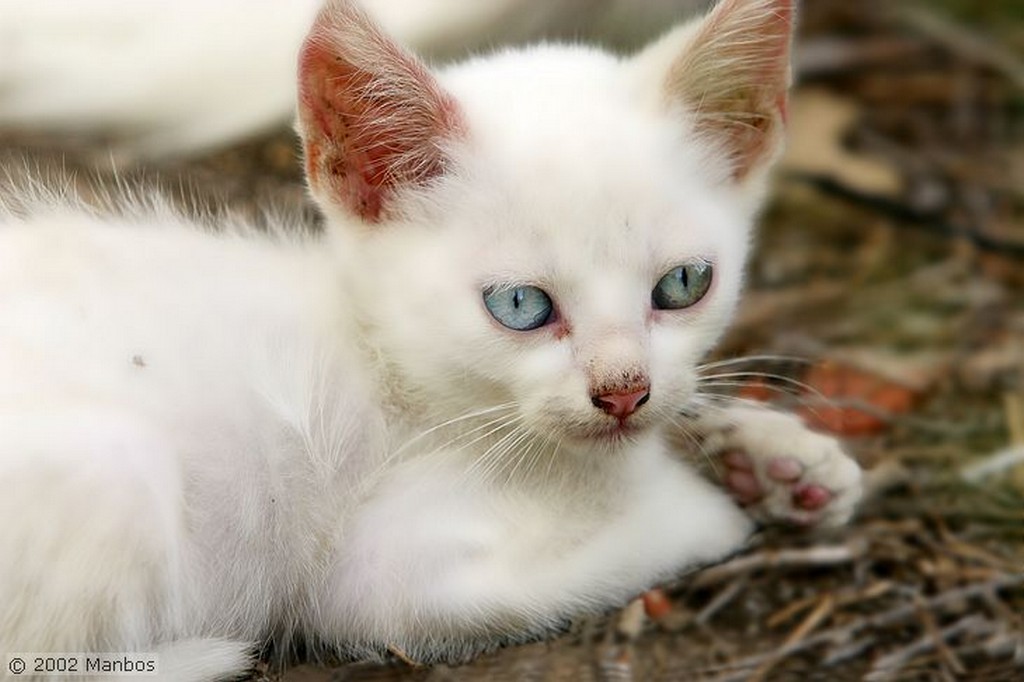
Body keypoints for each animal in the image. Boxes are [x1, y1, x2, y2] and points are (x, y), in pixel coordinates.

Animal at [2, 1, 864, 679]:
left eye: (684, 284)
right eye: (520, 305)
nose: (623, 392)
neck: (391, 366)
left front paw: (773, 455)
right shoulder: (379, 576)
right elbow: (649, 527)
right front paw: (718, 495)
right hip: (120, 470)